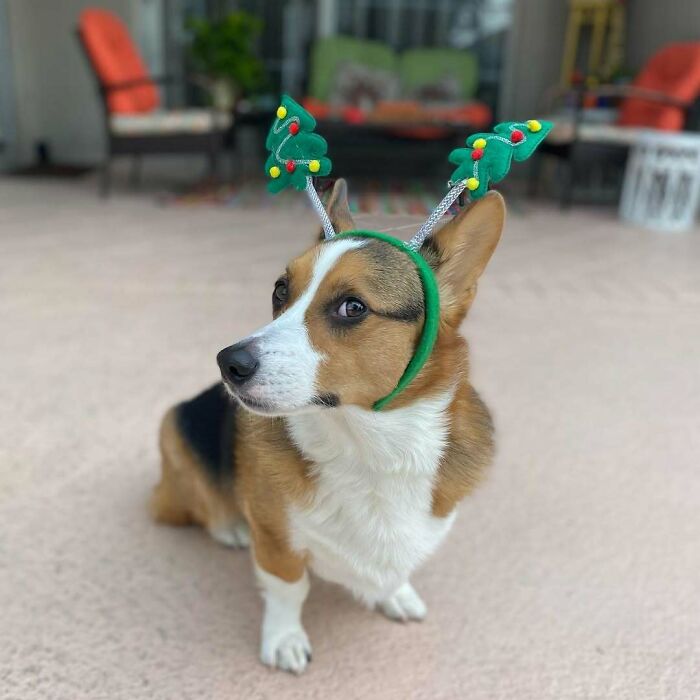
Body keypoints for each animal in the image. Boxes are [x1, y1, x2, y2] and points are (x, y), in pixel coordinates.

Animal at [152, 180, 504, 672]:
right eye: (281, 290)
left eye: (352, 307)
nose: (227, 363)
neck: (369, 448)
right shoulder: (277, 541)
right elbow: (288, 587)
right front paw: (284, 639)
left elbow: (398, 565)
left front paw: (396, 593)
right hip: (173, 432)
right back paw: (231, 528)